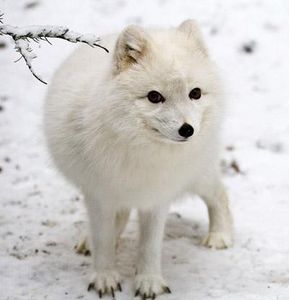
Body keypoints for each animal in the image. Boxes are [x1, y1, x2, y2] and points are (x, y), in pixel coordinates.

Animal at [44, 19, 232, 298]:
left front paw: (149, 281)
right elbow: (103, 240)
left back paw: (220, 235)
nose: (187, 130)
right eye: (154, 96)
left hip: (198, 174)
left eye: (195, 93)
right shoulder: (99, 195)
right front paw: (105, 277)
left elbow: (150, 246)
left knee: (219, 193)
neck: (141, 150)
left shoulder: (157, 197)